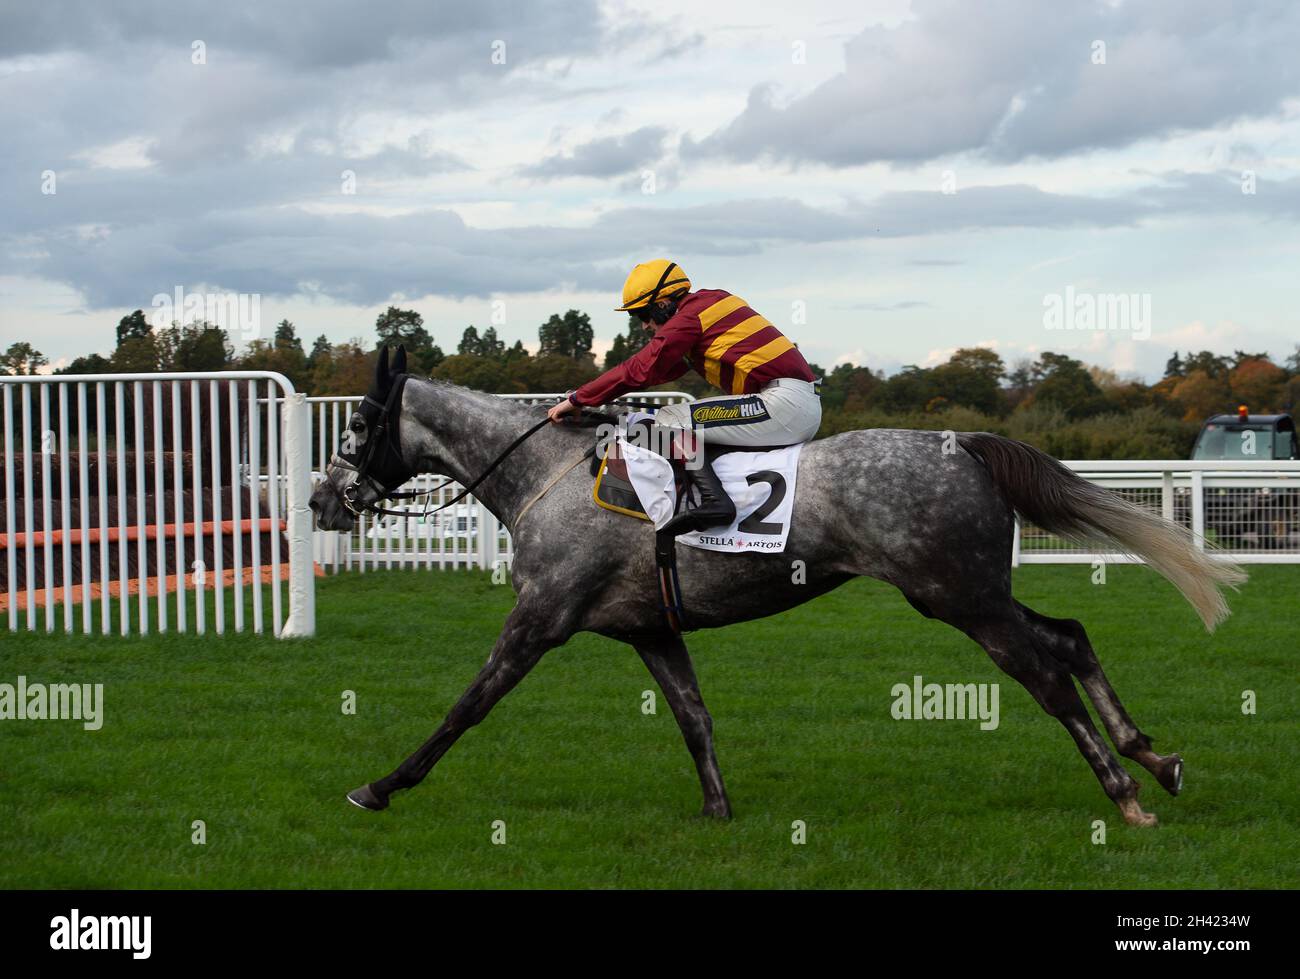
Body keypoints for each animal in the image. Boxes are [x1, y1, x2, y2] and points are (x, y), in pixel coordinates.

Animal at [309, 348, 1242, 826]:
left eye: (357, 426)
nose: (321, 499)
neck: (547, 475)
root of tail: (964, 443)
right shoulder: (649, 628)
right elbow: (692, 715)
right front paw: (719, 807)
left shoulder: (540, 618)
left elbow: (465, 706)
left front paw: (381, 784)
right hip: (972, 592)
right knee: (1071, 635)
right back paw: (1153, 757)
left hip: (959, 598)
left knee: (1046, 672)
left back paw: (1125, 791)